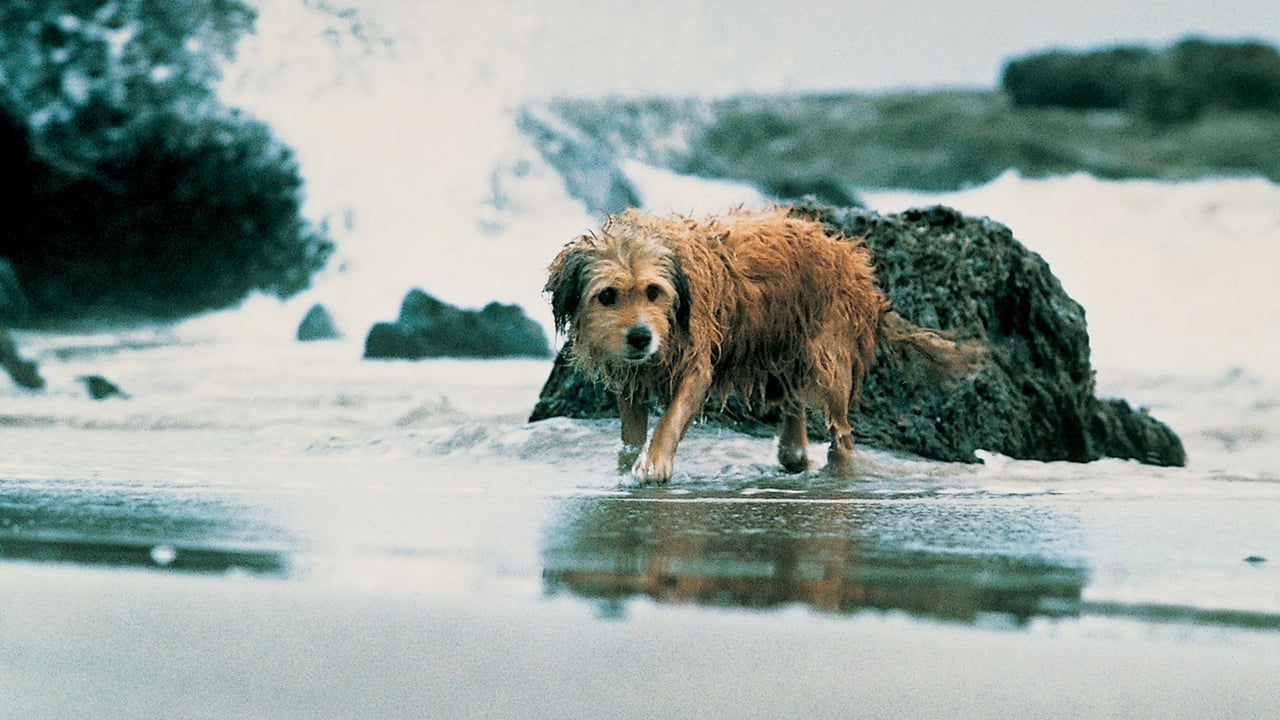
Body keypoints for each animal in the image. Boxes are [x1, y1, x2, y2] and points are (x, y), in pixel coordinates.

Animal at [545, 206, 972, 481]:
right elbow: (631, 433)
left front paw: (654, 465)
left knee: (842, 433)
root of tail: (854, 262)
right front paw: (629, 465)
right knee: (794, 410)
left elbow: (671, 418)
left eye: (653, 291)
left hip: (829, 359)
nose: (640, 337)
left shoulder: (695, 361)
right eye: (607, 296)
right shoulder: (631, 378)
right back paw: (794, 453)